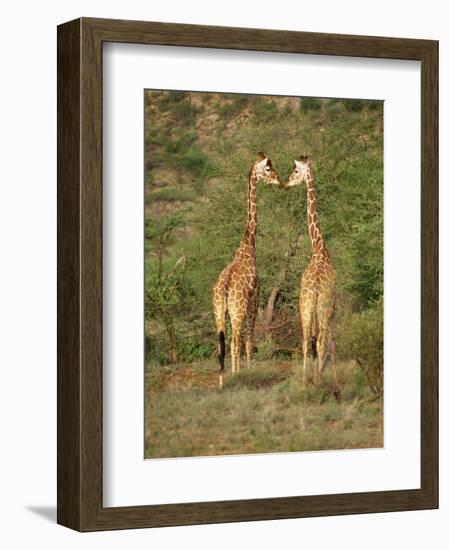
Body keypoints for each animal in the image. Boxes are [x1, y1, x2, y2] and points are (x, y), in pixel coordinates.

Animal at [213, 153, 280, 390]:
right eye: (268, 169)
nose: (278, 180)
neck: (249, 245)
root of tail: (224, 288)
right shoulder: (255, 297)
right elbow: (249, 340)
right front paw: (249, 371)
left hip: (219, 311)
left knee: (222, 343)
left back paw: (222, 382)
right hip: (238, 309)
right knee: (235, 341)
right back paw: (235, 377)